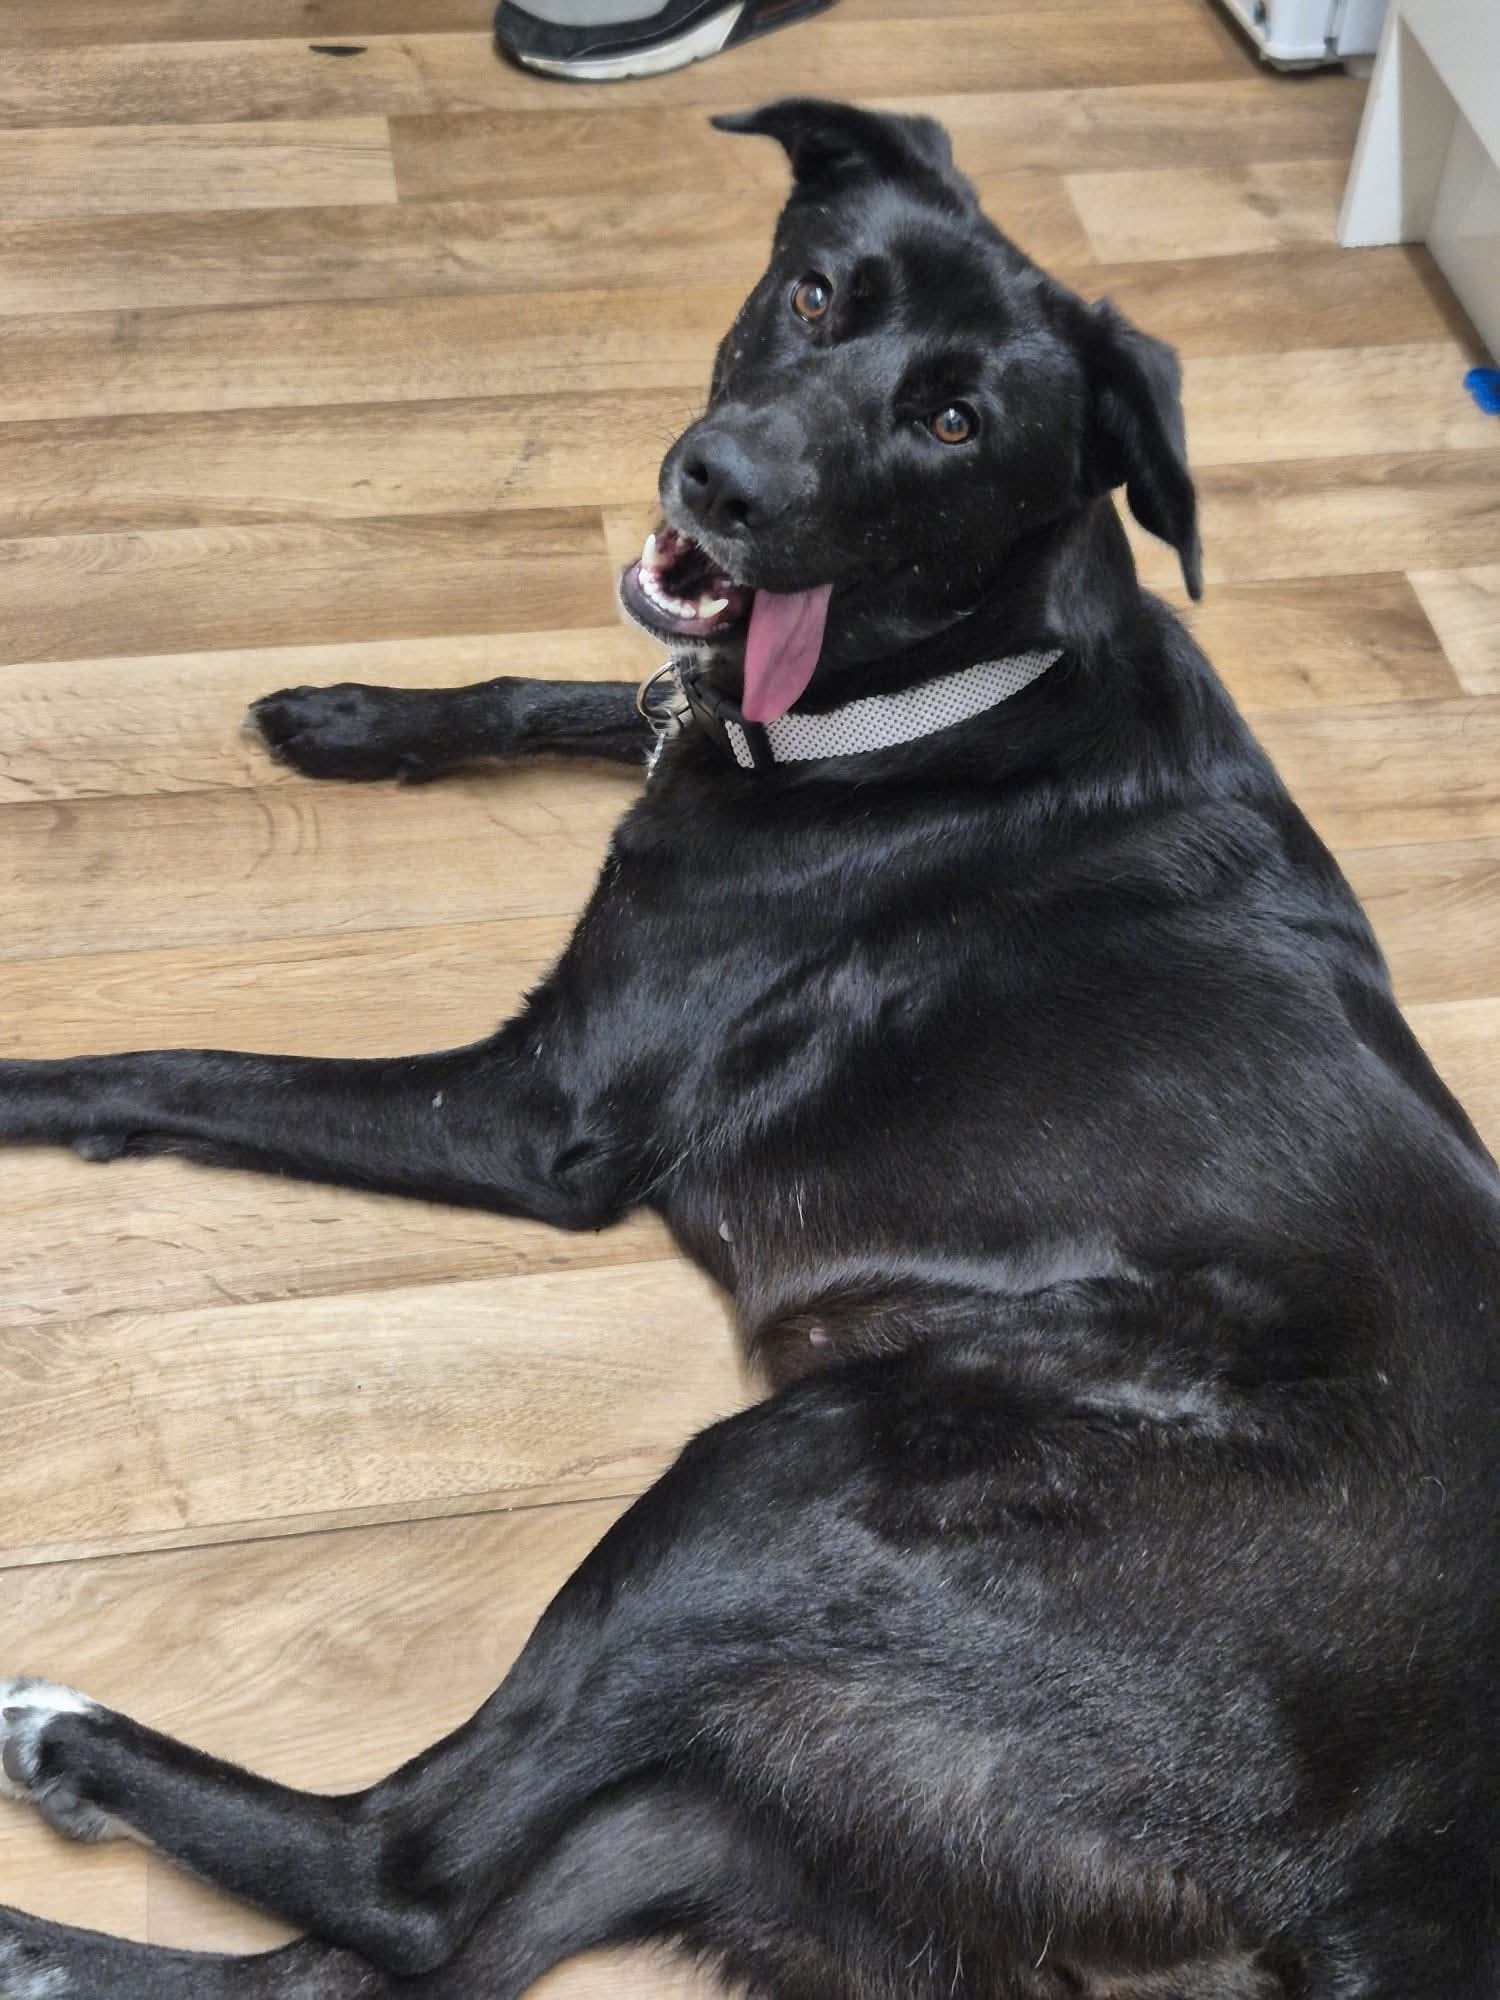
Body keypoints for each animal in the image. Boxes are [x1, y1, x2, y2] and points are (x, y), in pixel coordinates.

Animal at [0, 99, 1494, 2000]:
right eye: (815, 292)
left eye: (953, 422)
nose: (717, 483)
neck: (962, 683)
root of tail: (1397, 1882)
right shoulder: (691, 696)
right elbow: (589, 688)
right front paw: (355, 714)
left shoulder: (536, 1116)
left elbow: (186, 1068)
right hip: (769, 1801)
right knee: (404, 1951)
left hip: (798, 1472)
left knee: (406, 1873)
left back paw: (66, 1739)